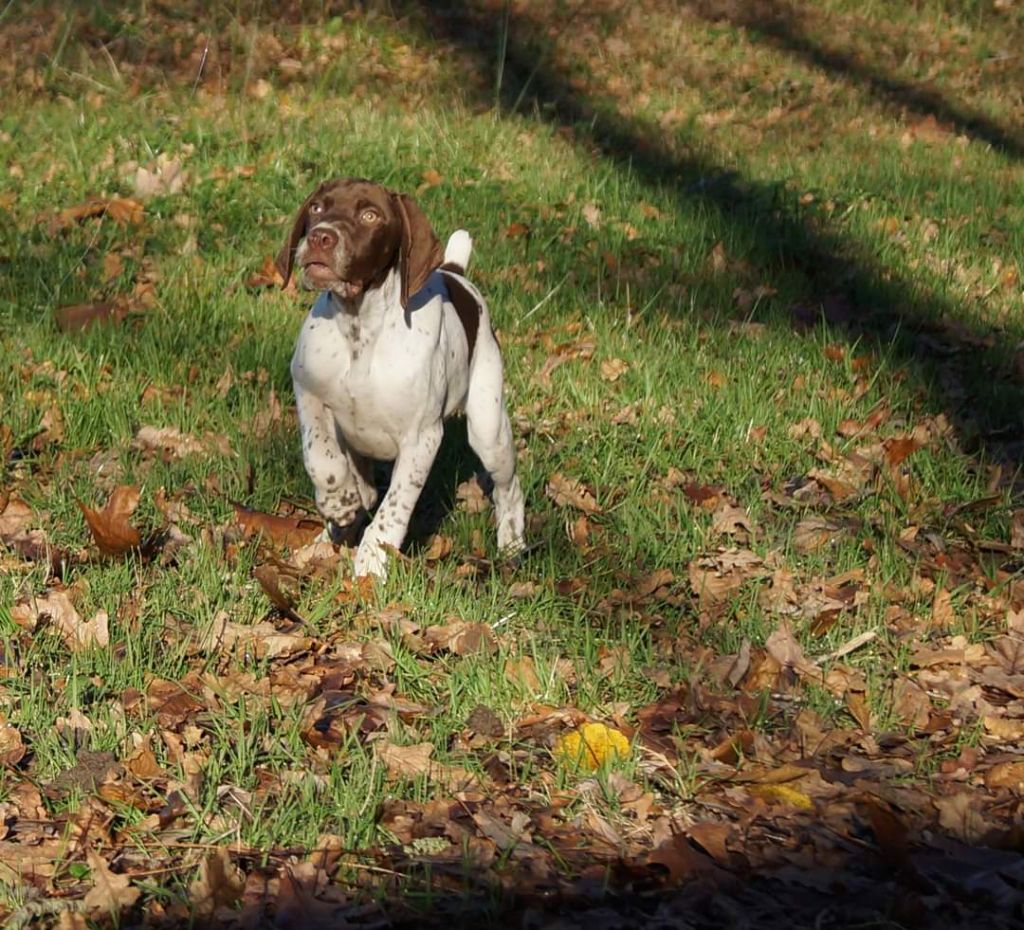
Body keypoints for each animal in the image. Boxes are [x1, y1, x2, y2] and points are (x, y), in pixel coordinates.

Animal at [274, 178, 524, 577]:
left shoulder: (421, 439)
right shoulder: (308, 393)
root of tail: (454, 271)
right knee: (363, 489)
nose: (320, 237)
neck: (359, 326)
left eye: (370, 215)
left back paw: (513, 543)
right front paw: (337, 501)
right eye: (316, 208)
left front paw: (372, 561)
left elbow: (395, 506)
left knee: (509, 488)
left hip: (488, 428)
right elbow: (321, 458)